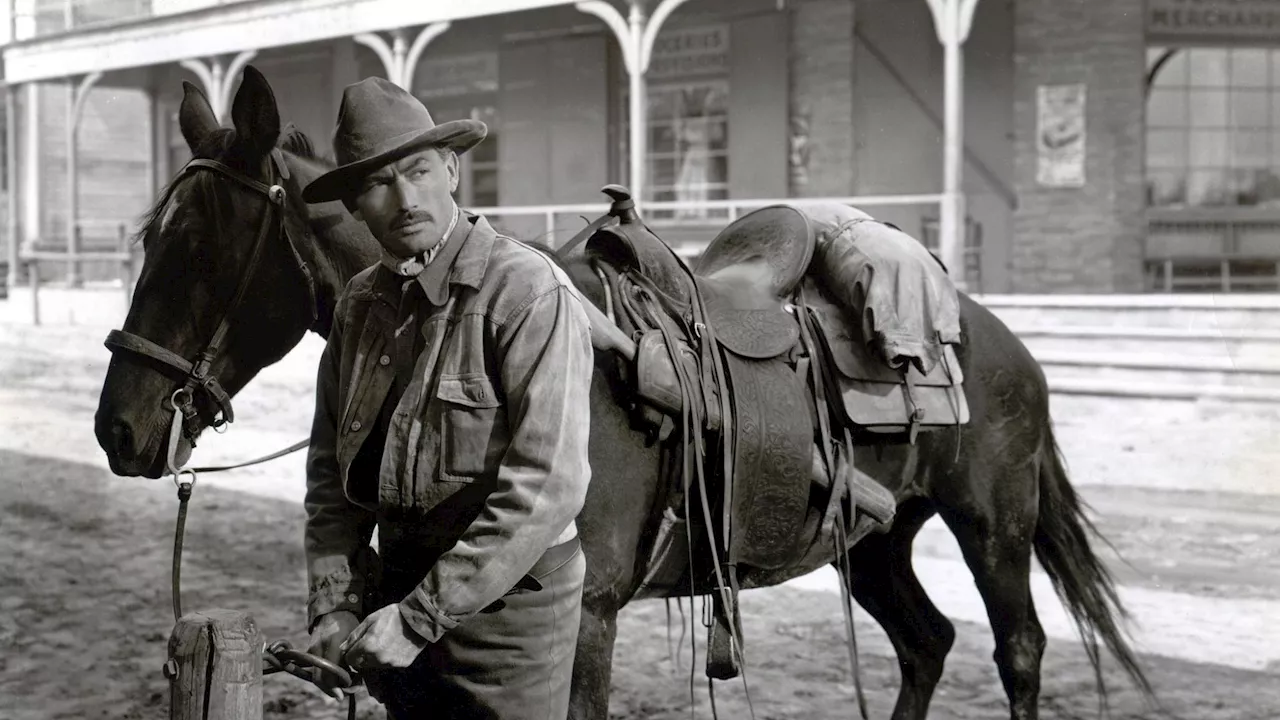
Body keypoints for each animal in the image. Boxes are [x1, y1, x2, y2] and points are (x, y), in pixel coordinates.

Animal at [94, 64, 1157, 712]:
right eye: (148, 238)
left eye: (202, 249)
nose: (119, 429)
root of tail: (998, 338)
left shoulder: (589, 618)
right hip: (877, 538)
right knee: (928, 643)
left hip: (992, 527)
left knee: (1017, 652)